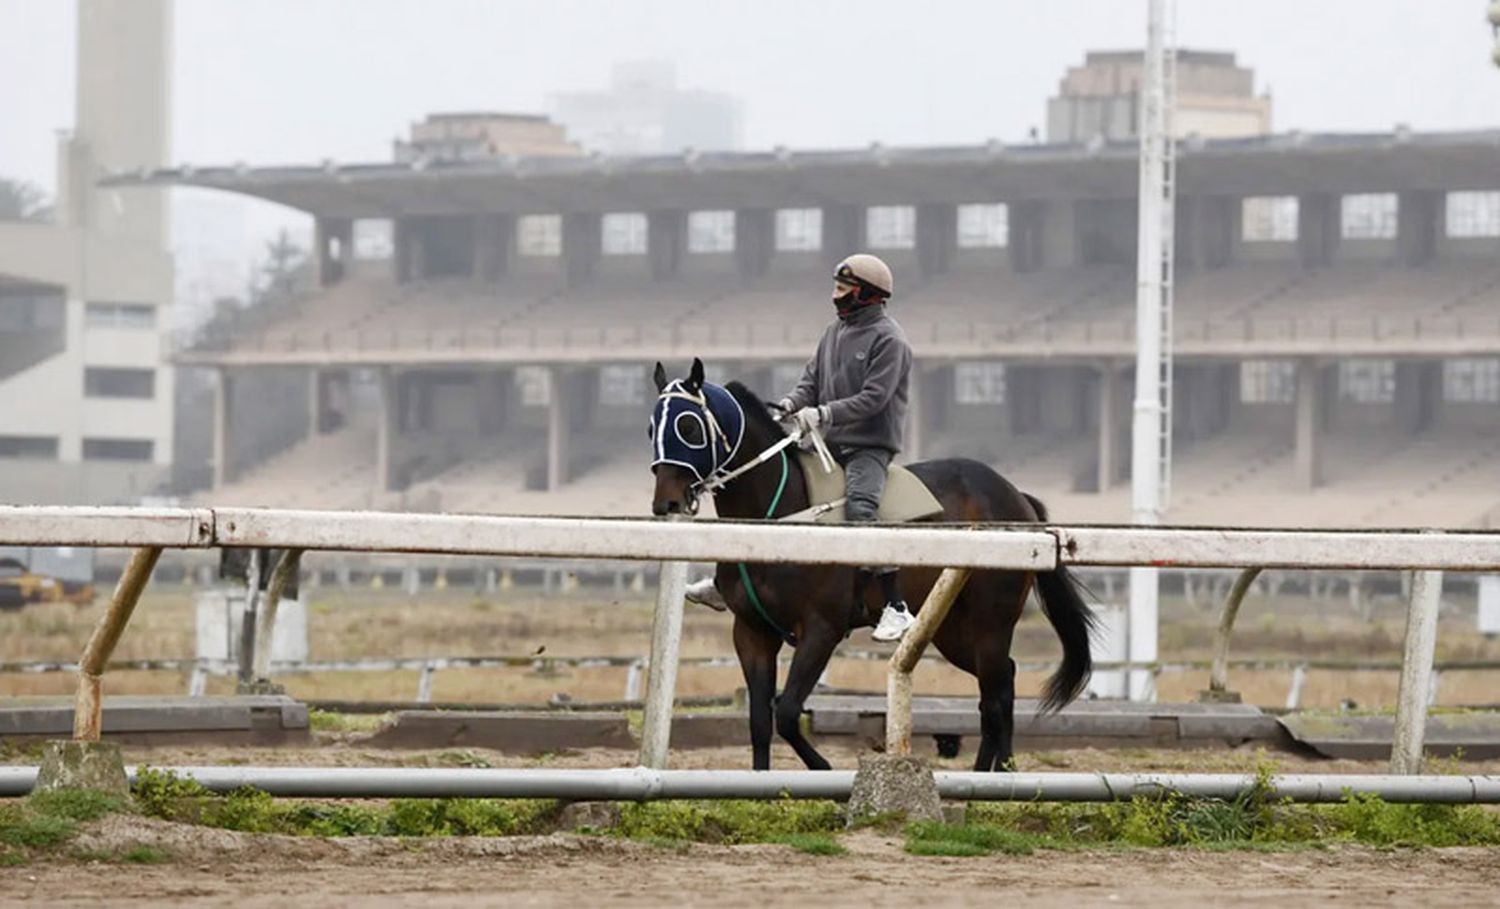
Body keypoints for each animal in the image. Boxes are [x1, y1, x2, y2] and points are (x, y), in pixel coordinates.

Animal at [645, 360, 1092, 774]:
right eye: (651, 428)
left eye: (688, 426)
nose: (666, 502)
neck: (782, 518)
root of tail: (1016, 496)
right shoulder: (752, 632)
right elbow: (759, 721)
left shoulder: (821, 630)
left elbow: (787, 712)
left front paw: (824, 770)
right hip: (951, 630)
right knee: (1002, 683)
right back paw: (999, 770)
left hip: (990, 623)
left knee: (996, 695)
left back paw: (991, 776)